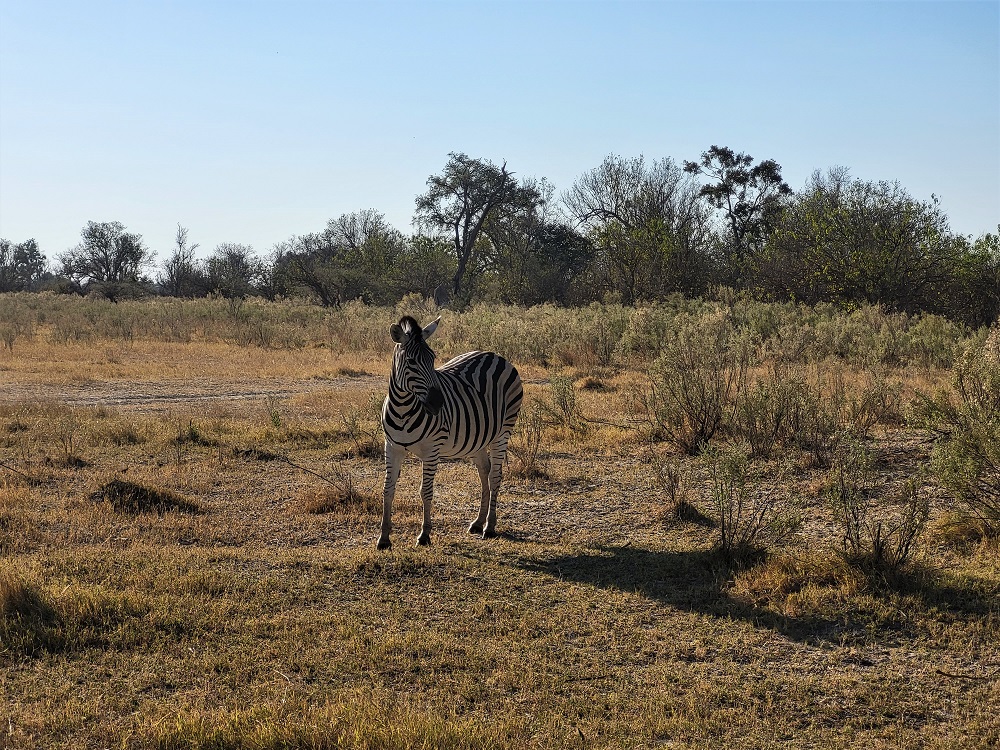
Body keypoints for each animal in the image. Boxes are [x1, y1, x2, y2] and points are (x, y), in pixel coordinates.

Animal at [377, 315, 523, 550]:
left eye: (433, 359)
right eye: (411, 362)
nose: (438, 403)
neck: (402, 409)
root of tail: (495, 355)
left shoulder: (431, 450)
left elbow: (426, 491)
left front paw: (424, 535)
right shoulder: (392, 447)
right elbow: (388, 490)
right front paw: (383, 538)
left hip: (503, 432)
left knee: (495, 476)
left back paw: (489, 527)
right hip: (477, 439)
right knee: (484, 472)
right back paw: (478, 522)